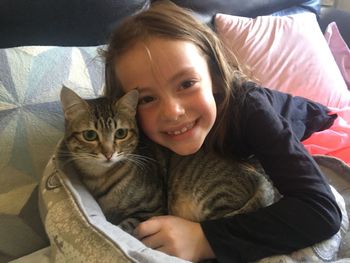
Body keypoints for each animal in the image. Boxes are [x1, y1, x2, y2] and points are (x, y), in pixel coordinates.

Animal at [56, 87, 167, 235]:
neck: (99, 177)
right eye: (89, 135)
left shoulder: (153, 209)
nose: (108, 153)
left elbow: (127, 226)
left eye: (121, 133)